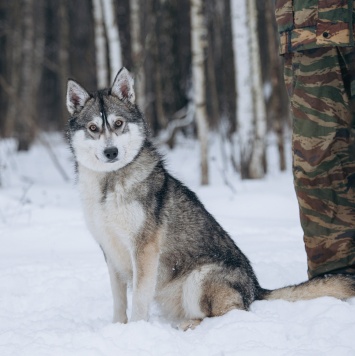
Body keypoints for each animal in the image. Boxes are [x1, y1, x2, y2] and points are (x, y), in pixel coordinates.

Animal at [67, 68, 355, 330]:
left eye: (118, 124)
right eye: (93, 128)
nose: (111, 152)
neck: (108, 185)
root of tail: (256, 288)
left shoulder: (144, 249)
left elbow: (138, 300)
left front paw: (136, 332)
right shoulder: (110, 251)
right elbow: (119, 301)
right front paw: (117, 329)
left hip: (200, 279)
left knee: (230, 313)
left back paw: (191, 325)